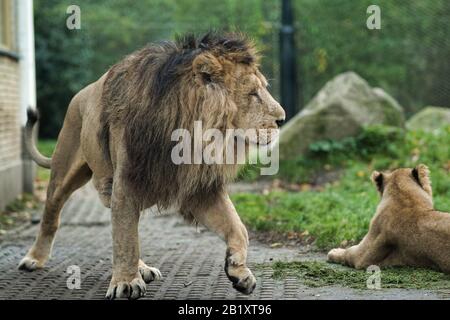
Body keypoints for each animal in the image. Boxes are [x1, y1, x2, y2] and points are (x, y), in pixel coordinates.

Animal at [19, 31, 284, 298]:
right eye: (253, 93)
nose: (282, 120)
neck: (190, 133)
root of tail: (82, 92)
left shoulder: (200, 188)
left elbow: (238, 227)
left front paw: (239, 272)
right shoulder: (126, 182)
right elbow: (126, 239)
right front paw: (125, 283)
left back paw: (143, 268)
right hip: (64, 171)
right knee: (52, 215)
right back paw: (34, 259)